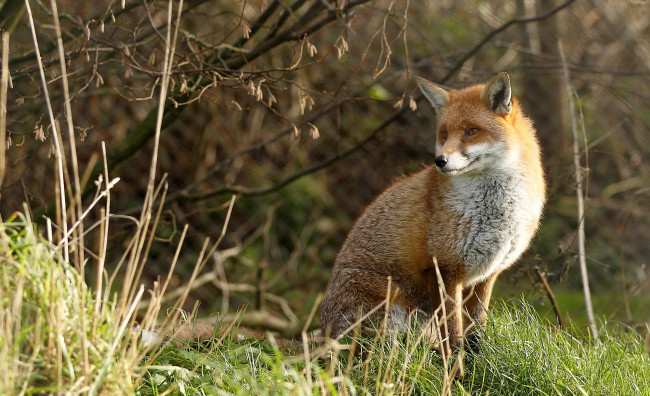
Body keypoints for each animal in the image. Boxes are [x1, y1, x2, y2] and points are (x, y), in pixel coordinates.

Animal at [322, 72, 544, 358]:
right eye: (444, 135)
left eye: (472, 131)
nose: (440, 161)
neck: (494, 210)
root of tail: (320, 338)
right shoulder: (444, 270)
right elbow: (453, 335)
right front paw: (457, 368)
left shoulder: (487, 275)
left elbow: (476, 330)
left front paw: (476, 362)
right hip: (389, 315)